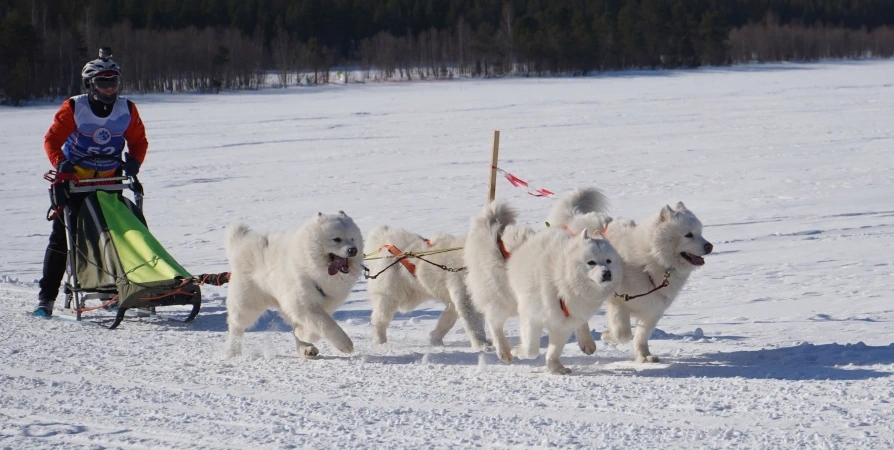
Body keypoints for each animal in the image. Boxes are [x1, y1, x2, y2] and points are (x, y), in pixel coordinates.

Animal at [226, 211, 366, 358]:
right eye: (336, 239)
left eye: (352, 238)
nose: (353, 250)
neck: (313, 270)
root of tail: (241, 244)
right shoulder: (304, 305)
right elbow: (326, 325)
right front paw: (345, 343)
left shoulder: (319, 306)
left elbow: (316, 327)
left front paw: (302, 334)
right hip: (247, 305)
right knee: (236, 326)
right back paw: (232, 351)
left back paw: (306, 348)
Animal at [466, 187, 612, 366]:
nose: (608, 273)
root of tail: (493, 233)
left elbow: (579, 323)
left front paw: (586, 343)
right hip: (503, 299)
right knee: (494, 323)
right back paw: (504, 351)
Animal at [556, 200, 716, 362]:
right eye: (688, 235)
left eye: (700, 232)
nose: (710, 246)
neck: (650, 262)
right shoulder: (618, 302)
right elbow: (623, 333)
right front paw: (607, 335)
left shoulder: (653, 309)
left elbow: (641, 335)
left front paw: (644, 356)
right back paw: (587, 343)